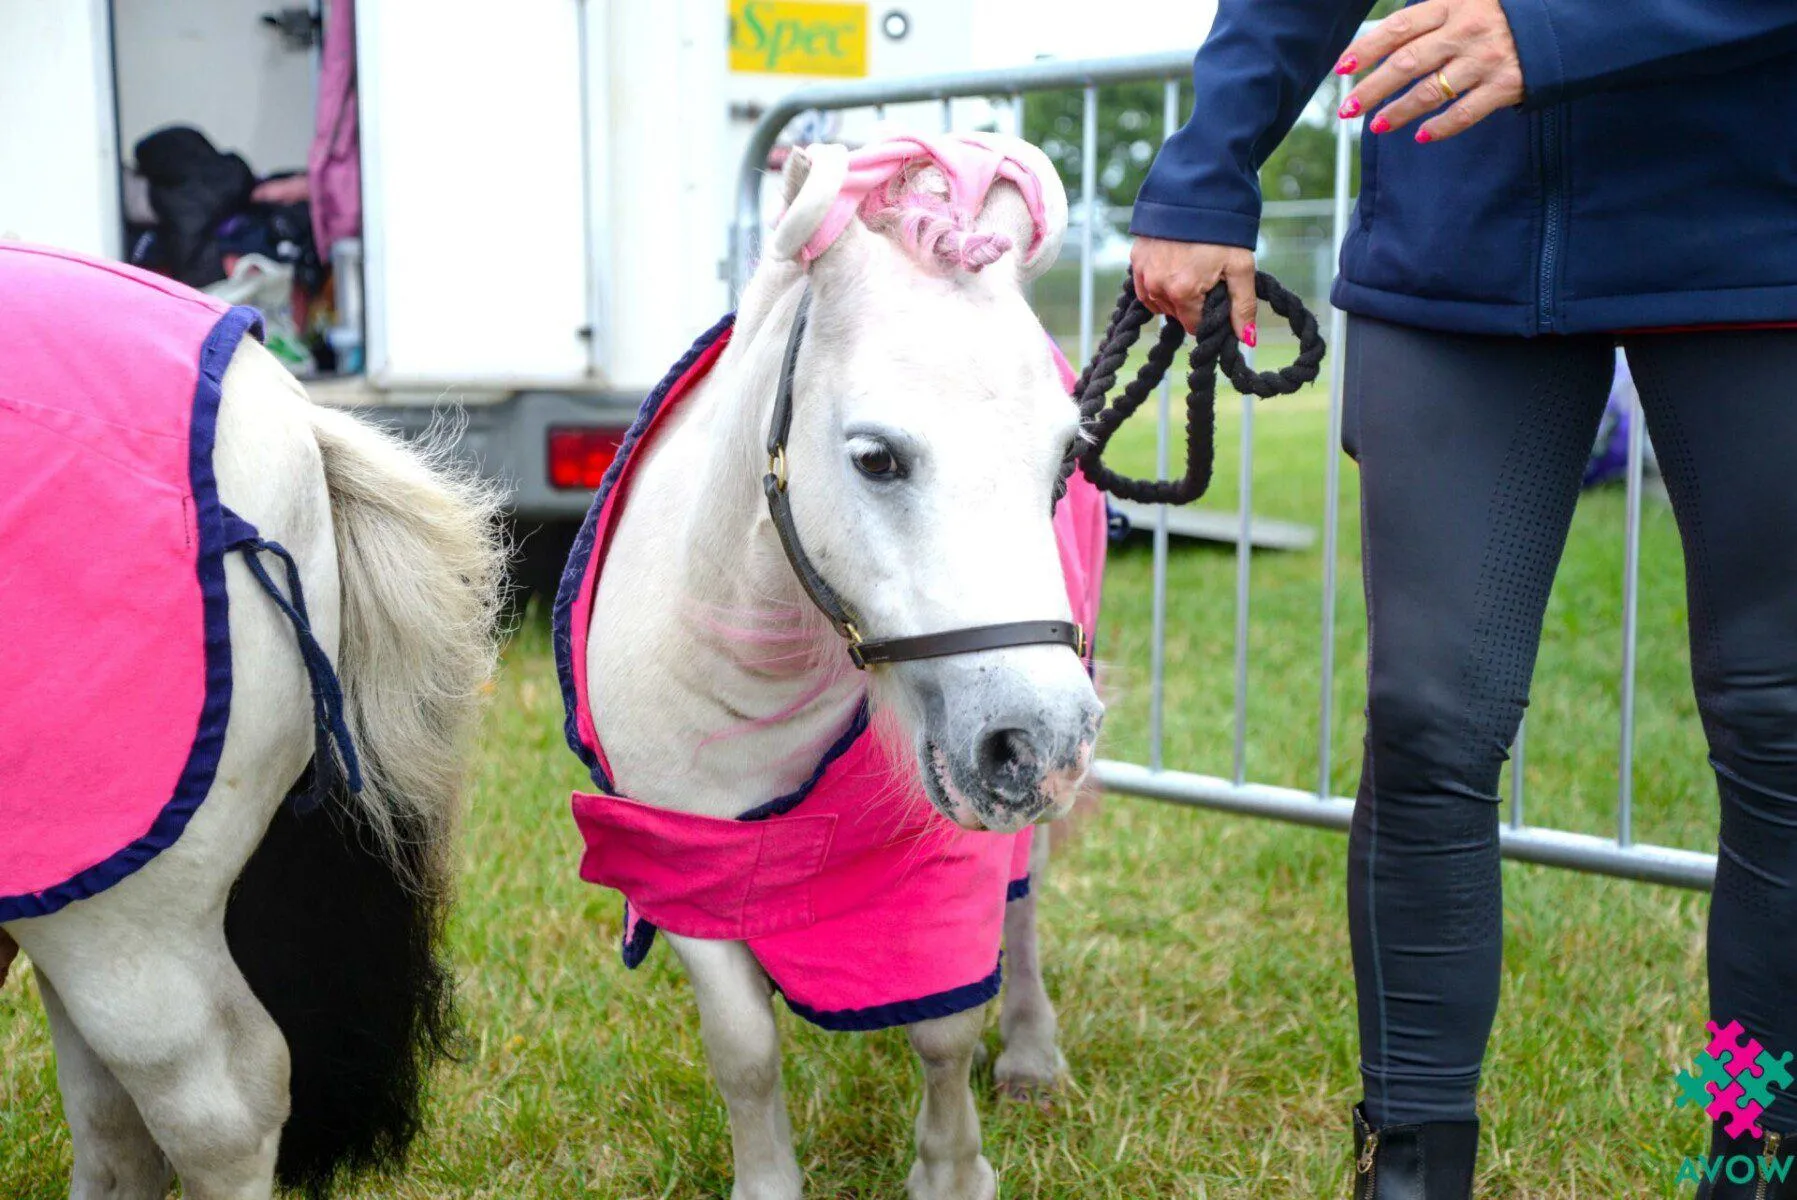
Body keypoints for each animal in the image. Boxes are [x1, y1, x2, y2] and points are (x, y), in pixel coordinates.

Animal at [554, 135, 1105, 1199]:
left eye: (1066, 455)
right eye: (876, 457)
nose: (1038, 743)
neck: (749, 680)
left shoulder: (942, 862)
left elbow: (943, 1025)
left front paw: (951, 1171)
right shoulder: (681, 859)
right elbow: (742, 1048)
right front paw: (767, 1180)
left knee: (1024, 906)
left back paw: (1031, 1055)